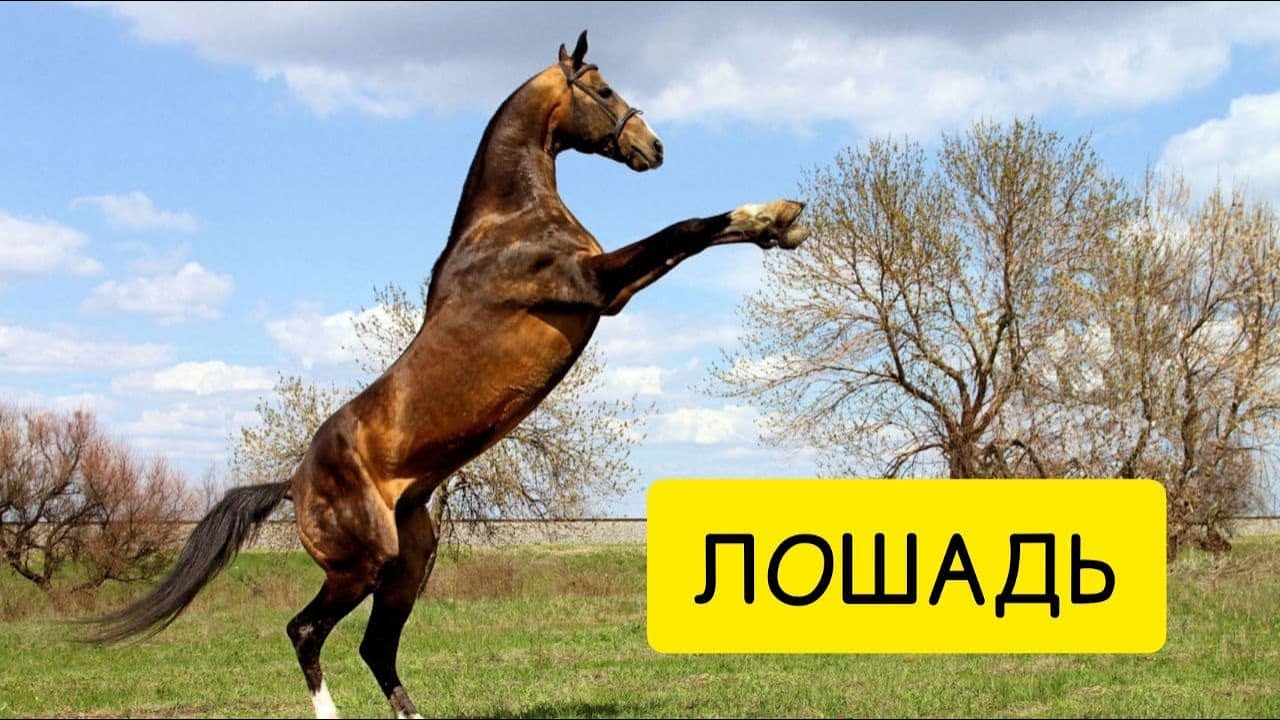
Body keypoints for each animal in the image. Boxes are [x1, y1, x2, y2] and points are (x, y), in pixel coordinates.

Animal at [88, 30, 808, 719]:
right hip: (362, 564)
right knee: (305, 631)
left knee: (375, 646)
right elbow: (684, 228)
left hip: (411, 560)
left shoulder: (614, 291)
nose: (651, 146)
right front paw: (773, 216)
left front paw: (780, 224)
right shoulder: (594, 286)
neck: (507, 222)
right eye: (602, 89)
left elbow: (689, 238)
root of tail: (291, 483)